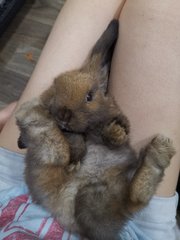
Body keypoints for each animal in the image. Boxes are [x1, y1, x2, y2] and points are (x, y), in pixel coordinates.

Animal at [15, 19, 176, 240]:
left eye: (89, 96)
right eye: (55, 87)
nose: (63, 115)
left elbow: (114, 131)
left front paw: (116, 134)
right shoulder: (69, 132)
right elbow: (73, 139)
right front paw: (76, 157)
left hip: (92, 199)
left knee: (134, 198)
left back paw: (157, 155)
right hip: (84, 195)